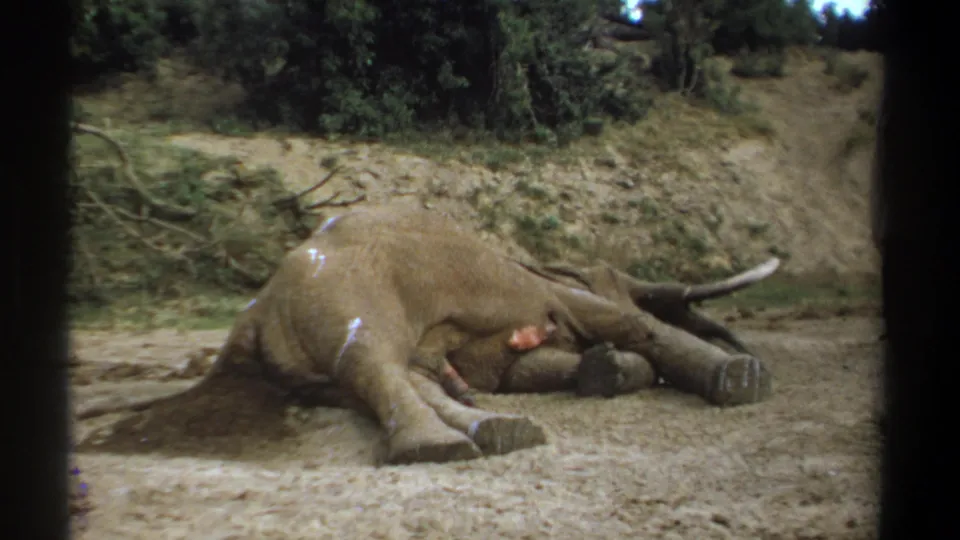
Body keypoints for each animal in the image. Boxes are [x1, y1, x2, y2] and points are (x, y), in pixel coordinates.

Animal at [76, 203, 780, 465]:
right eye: (608, 275)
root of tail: (249, 319)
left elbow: (527, 367)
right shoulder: (546, 290)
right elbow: (621, 320)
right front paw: (742, 379)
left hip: (304, 360)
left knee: (378, 378)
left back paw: (495, 431)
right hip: (348, 295)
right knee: (374, 362)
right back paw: (440, 448)